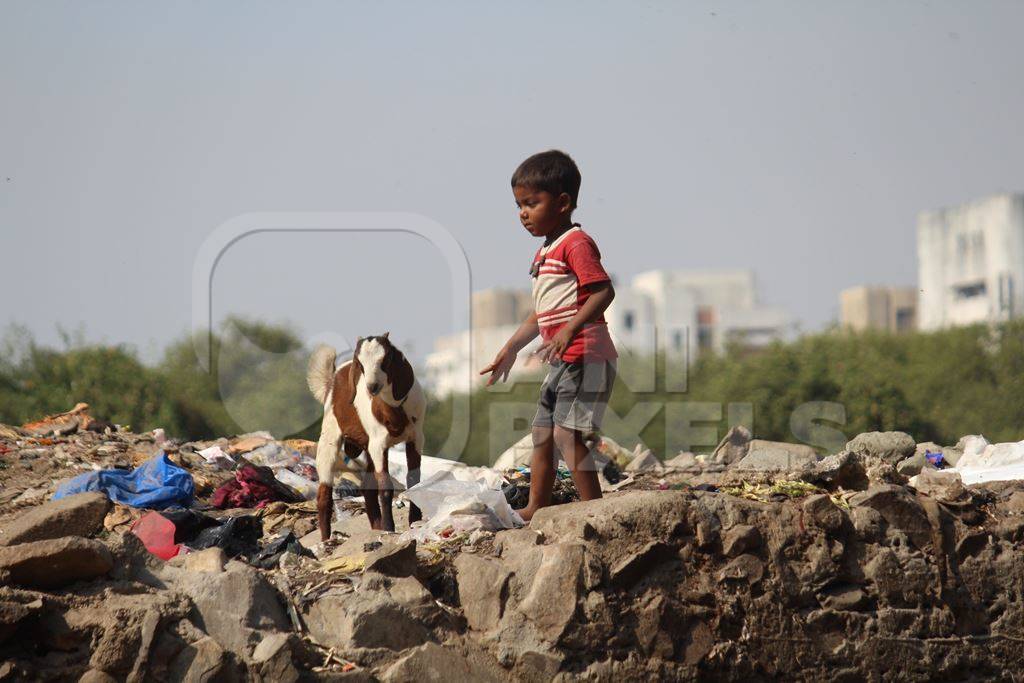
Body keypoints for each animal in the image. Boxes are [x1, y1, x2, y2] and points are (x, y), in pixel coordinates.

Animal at [307, 333, 428, 540]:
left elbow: (414, 480)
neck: (392, 410)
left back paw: (376, 528)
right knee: (324, 492)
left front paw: (414, 521)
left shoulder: (415, 438)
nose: (372, 387)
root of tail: (332, 380)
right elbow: (385, 486)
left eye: (385, 359)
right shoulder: (379, 445)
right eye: (360, 364)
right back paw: (326, 539)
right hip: (329, 433)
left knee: (367, 488)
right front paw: (389, 527)